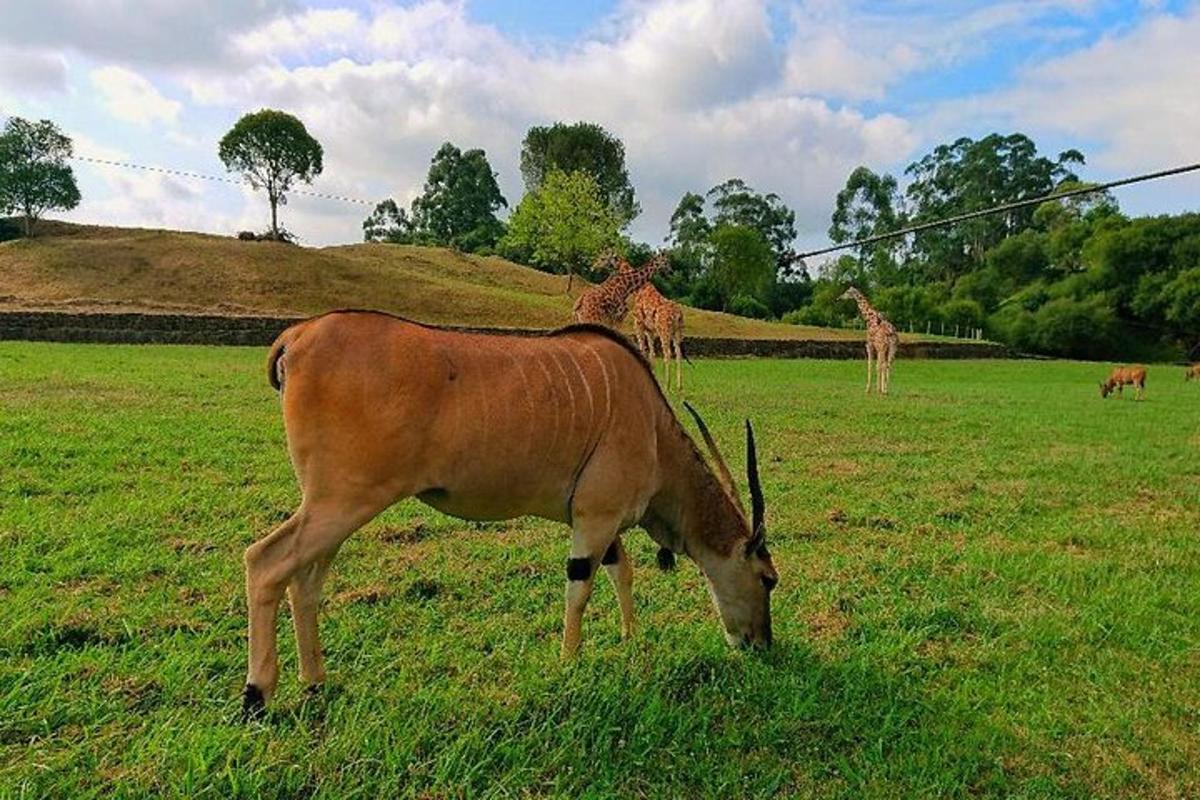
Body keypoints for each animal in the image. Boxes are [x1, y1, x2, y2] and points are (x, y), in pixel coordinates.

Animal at [243, 309, 777, 714]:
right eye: (768, 579)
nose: (760, 644)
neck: (650, 423)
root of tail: (298, 336)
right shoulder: (596, 518)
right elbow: (580, 589)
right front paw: (569, 663)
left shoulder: (600, 523)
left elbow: (620, 572)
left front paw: (630, 638)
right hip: (343, 503)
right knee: (265, 561)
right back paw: (257, 695)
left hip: (335, 509)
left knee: (305, 581)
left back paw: (316, 681)